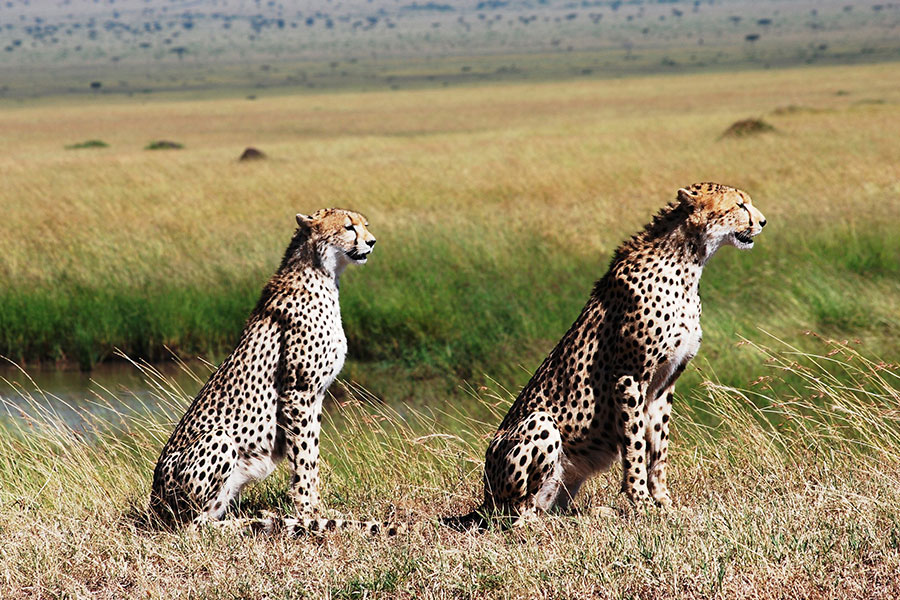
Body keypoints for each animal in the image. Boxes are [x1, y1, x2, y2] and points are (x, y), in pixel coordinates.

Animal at [149, 208, 403, 535]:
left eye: (365, 226)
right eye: (349, 227)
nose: (372, 242)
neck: (322, 273)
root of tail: (154, 505)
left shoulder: (315, 397)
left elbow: (311, 454)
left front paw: (316, 510)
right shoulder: (299, 392)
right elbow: (305, 459)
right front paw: (309, 512)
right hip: (218, 440)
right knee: (194, 525)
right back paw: (256, 522)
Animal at [446, 182, 767, 528]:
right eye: (739, 205)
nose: (763, 222)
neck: (687, 262)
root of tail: (485, 500)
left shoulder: (664, 383)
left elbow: (658, 449)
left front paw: (665, 503)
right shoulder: (629, 377)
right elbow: (635, 446)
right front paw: (643, 504)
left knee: (553, 506)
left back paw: (590, 514)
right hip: (537, 426)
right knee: (518, 513)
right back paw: (539, 522)